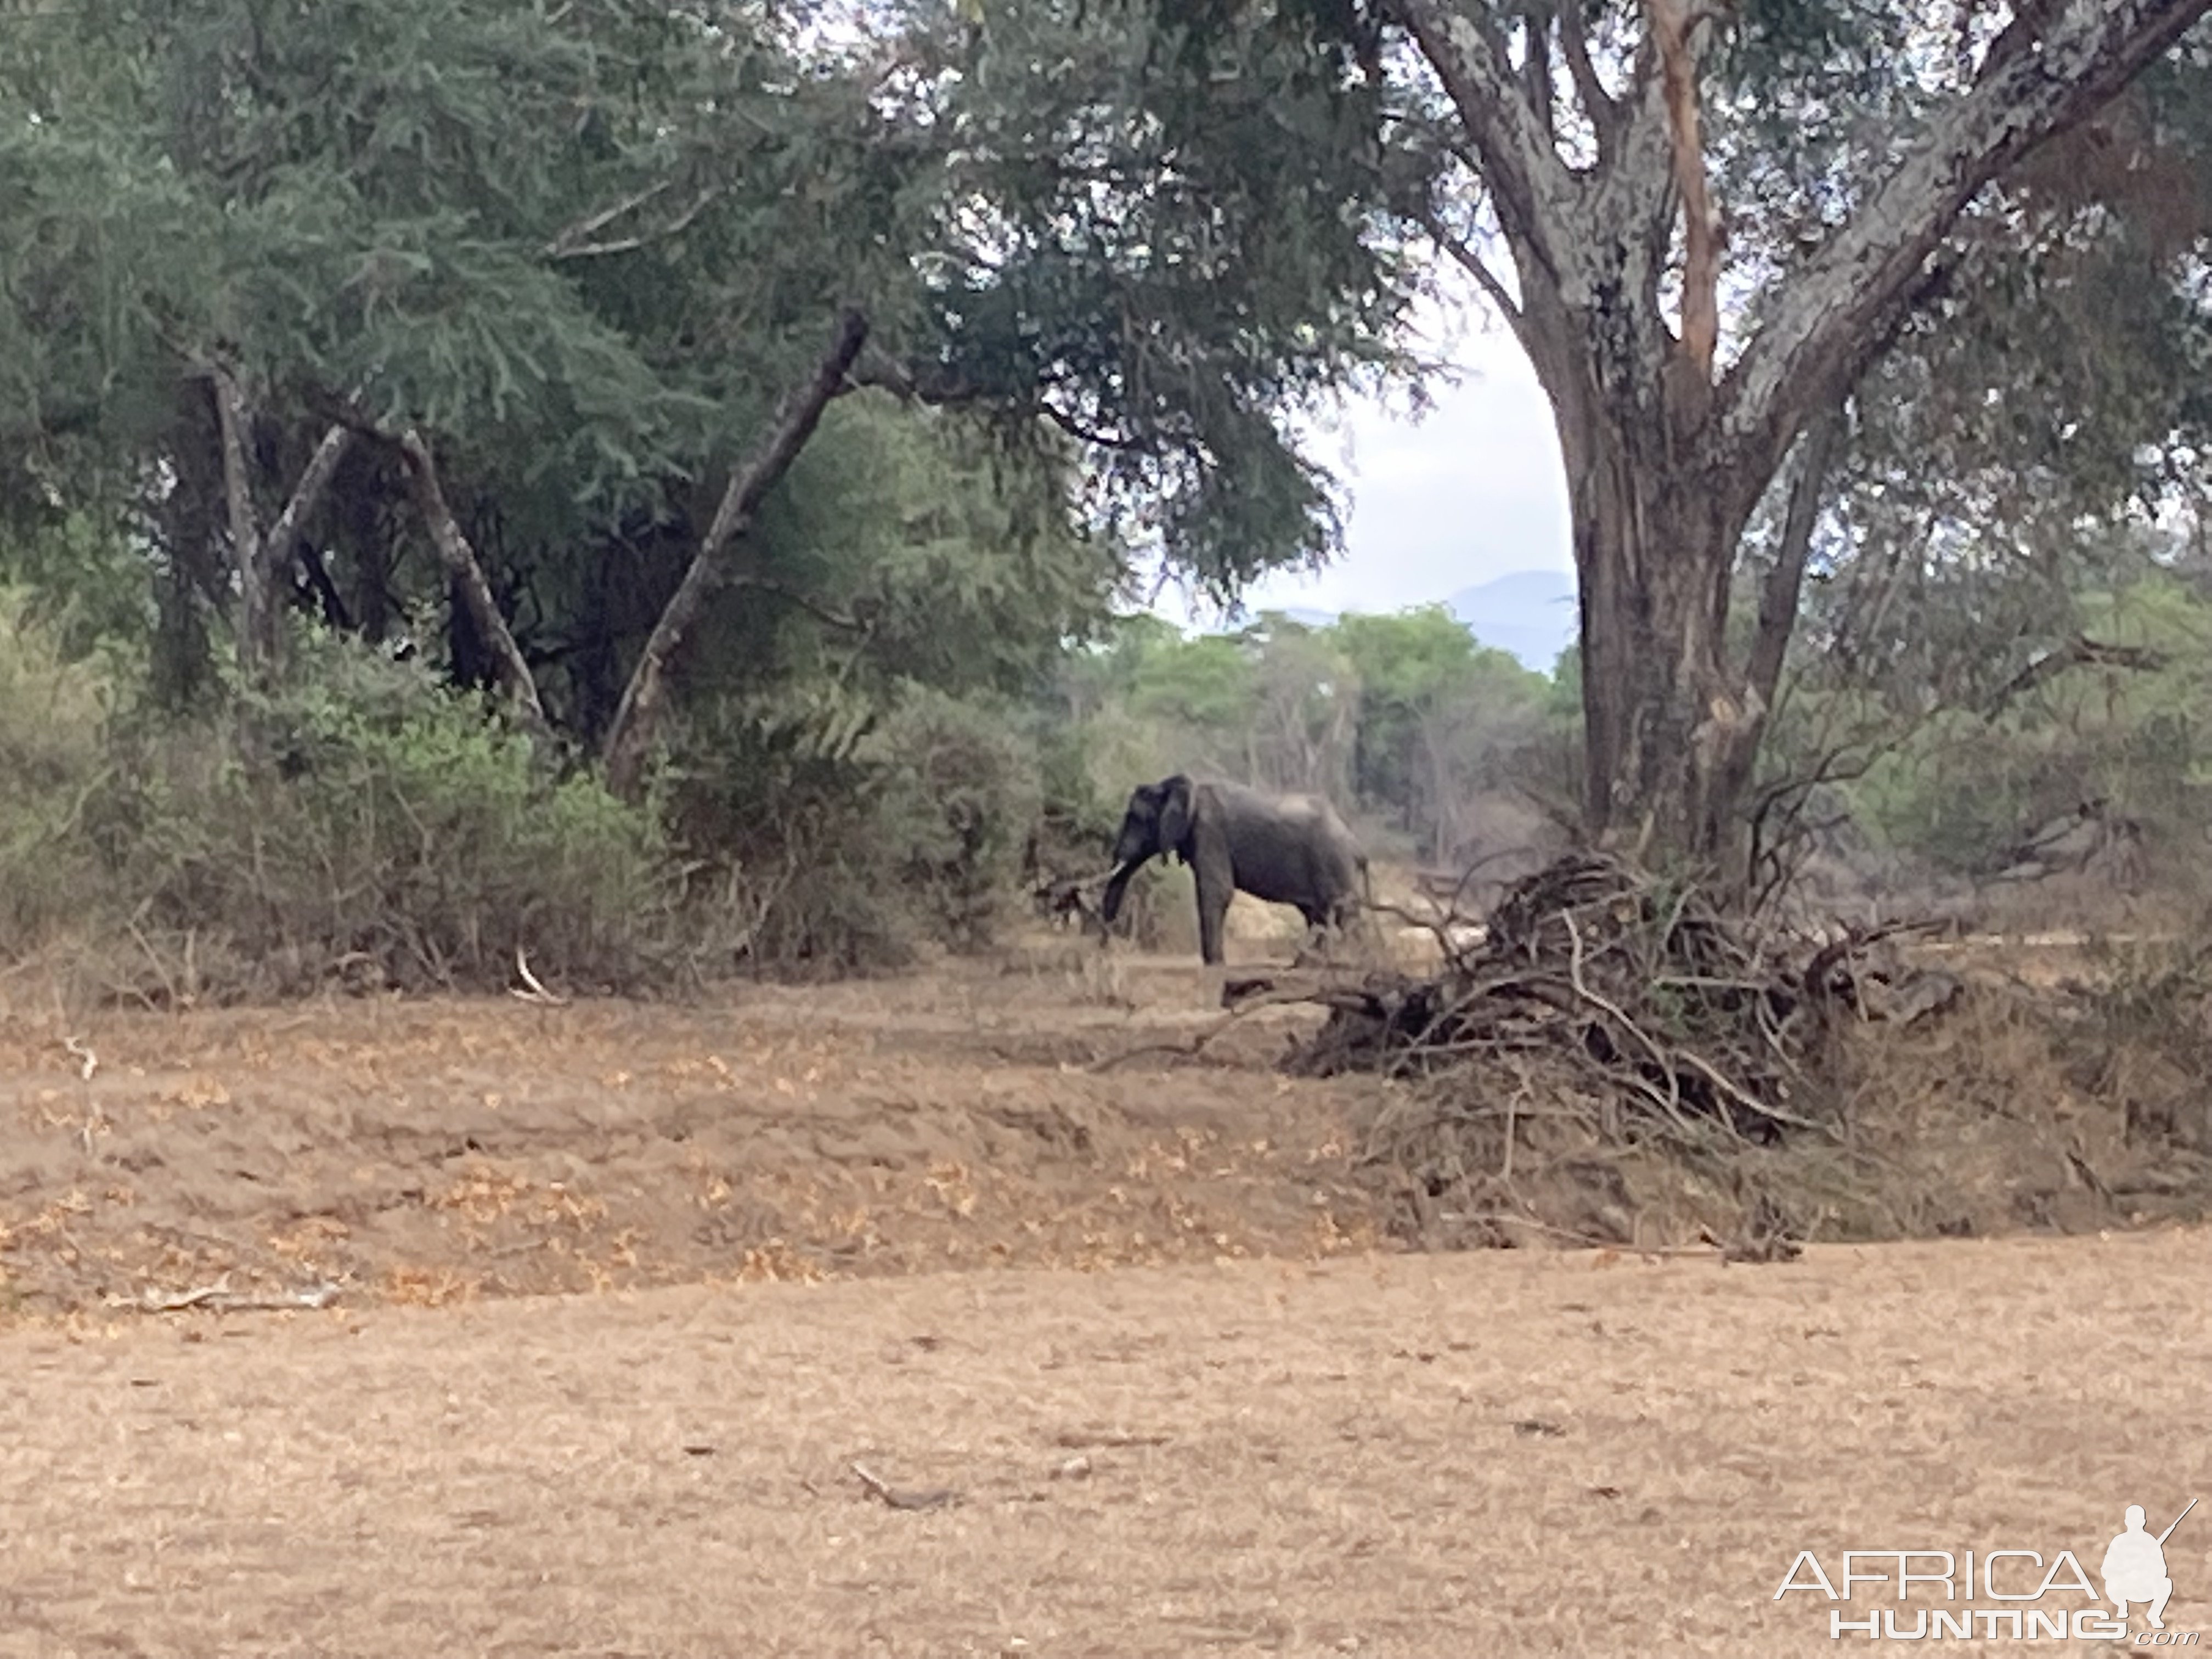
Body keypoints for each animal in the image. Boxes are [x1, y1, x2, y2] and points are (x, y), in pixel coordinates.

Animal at [1101, 778, 1371, 969]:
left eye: (1136, 818)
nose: (1107, 942)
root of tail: (1357, 845)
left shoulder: (1210, 832)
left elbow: (1217, 891)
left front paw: (1215, 966)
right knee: (1319, 916)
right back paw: (1304, 967)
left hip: (1334, 866)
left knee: (1344, 917)